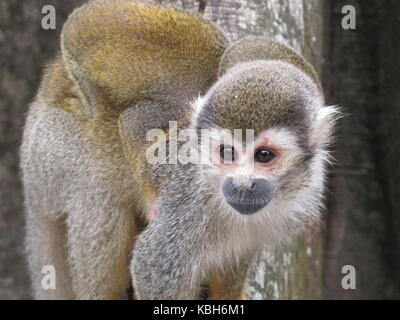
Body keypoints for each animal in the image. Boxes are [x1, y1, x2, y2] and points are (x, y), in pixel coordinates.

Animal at [20, 0, 336, 300]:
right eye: (227, 154)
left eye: (264, 156)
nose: (242, 185)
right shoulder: (190, 202)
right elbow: (151, 264)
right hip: (53, 150)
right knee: (100, 197)